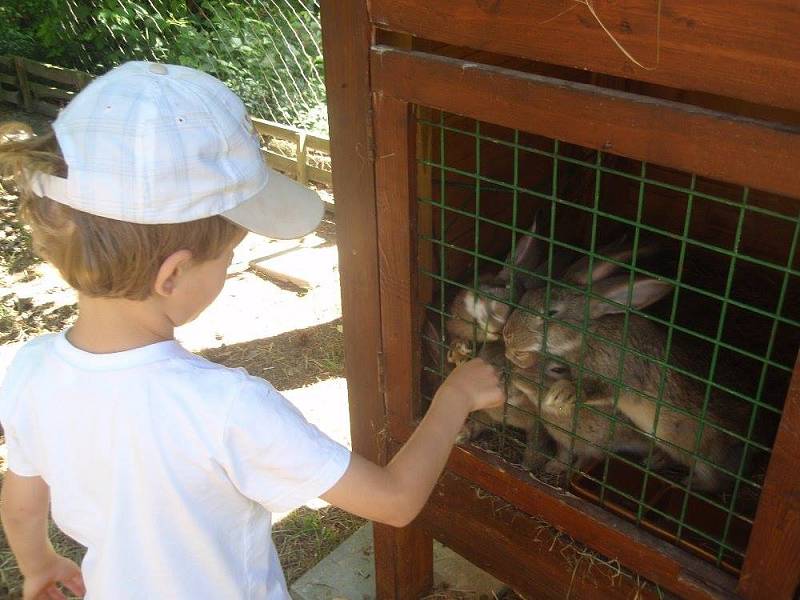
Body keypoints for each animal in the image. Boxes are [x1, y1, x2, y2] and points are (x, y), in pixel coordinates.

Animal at [504, 244, 752, 492]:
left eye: (551, 313)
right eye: (526, 296)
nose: (508, 334)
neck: (589, 333)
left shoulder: (614, 375)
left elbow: (592, 389)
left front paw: (562, 393)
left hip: (705, 456)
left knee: (715, 481)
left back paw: (687, 482)